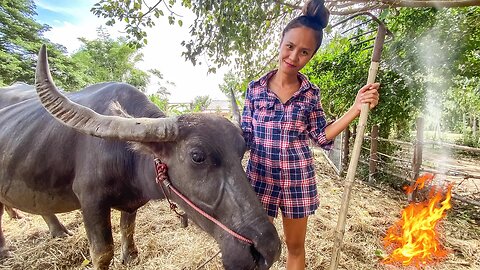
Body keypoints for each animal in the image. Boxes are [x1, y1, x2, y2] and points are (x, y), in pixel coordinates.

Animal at [0, 45, 282, 268]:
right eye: (197, 156)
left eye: (242, 150)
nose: (267, 250)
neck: (125, 156)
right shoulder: (90, 200)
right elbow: (102, 253)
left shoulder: (131, 203)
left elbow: (128, 226)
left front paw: (131, 256)